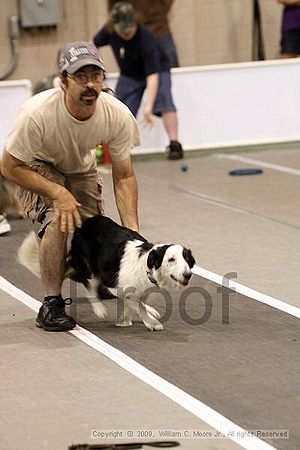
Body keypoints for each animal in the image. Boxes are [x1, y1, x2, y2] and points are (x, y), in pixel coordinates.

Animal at [18, 214, 197, 330]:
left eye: (187, 259)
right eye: (171, 260)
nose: (188, 274)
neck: (146, 264)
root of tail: (84, 223)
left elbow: (136, 301)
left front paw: (128, 319)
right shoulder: (114, 284)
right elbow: (137, 304)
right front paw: (151, 322)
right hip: (91, 267)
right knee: (89, 286)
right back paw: (99, 309)